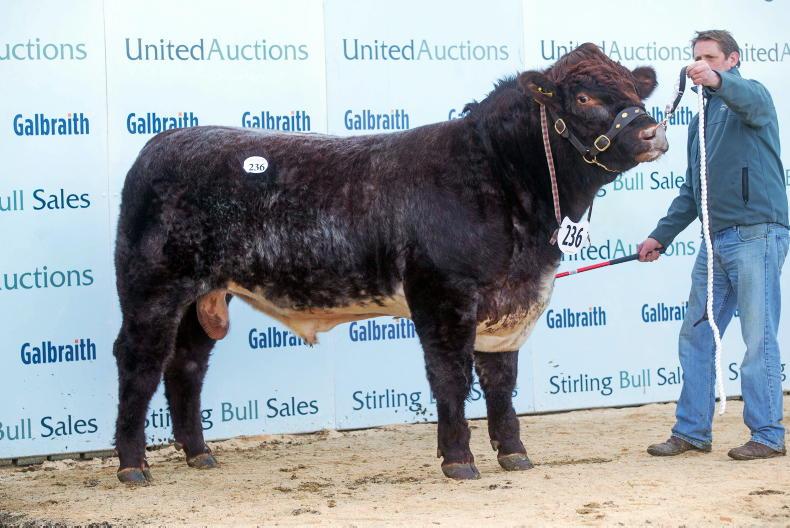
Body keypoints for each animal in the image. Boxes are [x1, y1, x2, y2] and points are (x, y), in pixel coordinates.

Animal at [112, 43, 667, 484]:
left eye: (636, 92)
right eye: (584, 97)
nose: (653, 131)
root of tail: (164, 140)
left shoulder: (510, 299)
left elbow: (500, 381)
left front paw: (514, 453)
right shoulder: (442, 295)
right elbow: (451, 376)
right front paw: (458, 459)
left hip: (205, 293)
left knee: (186, 363)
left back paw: (199, 454)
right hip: (152, 288)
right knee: (139, 361)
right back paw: (132, 464)